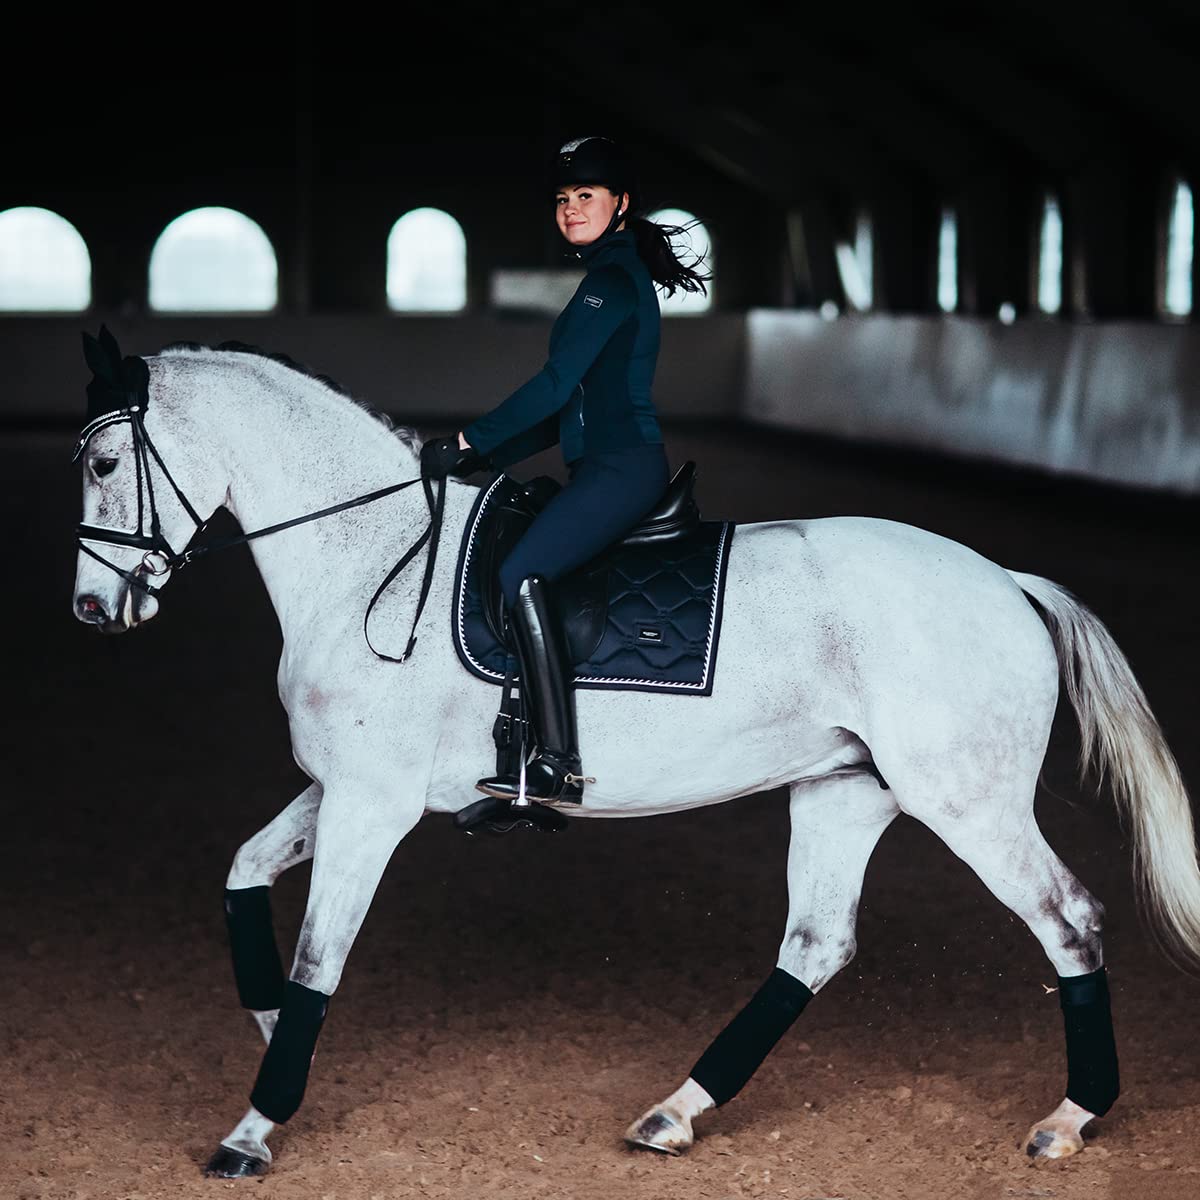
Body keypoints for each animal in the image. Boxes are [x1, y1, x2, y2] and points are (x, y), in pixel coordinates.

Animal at [70, 334, 1200, 1179]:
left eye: (103, 464)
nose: (92, 610)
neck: (371, 563)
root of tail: (1006, 580)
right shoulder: (340, 790)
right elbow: (243, 874)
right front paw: (268, 1029)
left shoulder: (371, 805)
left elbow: (319, 957)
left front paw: (254, 1127)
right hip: (845, 791)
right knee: (816, 945)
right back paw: (676, 1112)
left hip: (969, 801)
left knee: (1069, 921)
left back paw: (1071, 1119)